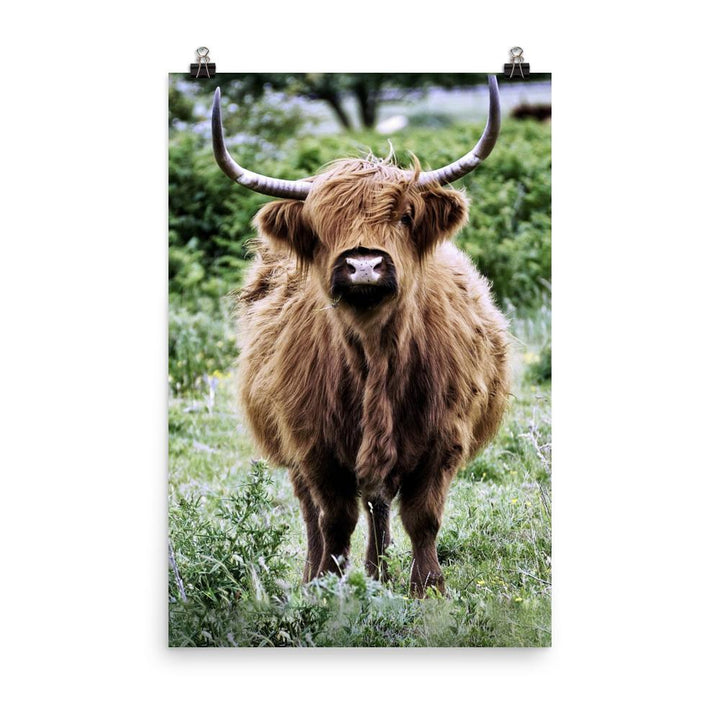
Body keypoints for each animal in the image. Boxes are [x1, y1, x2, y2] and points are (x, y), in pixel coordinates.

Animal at [211, 77, 511, 596]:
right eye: (321, 225)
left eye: (405, 216)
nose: (364, 265)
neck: (376, 355)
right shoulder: (314, 445)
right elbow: (334, 519)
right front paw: (327, 587)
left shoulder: (444, 439)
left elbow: (422, 517)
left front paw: (427, 589)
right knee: (317, 512)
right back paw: (324, 574)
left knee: (379, 502)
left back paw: (379, 572)